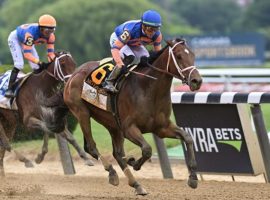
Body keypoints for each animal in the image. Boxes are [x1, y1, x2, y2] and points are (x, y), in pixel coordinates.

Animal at [63, 38, 202, 195]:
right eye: (179, 56)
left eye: (193, 55)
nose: (197, 81)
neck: (148, 89)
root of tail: (73, 75)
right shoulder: (129, 128)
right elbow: (147, 149)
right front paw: (134, 163)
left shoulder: (162, 127)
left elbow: (188, 138)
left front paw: (193, 177)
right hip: (82, 113)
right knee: (91, 147)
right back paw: (112, 173)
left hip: (112, 124)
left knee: (117, 153)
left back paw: (136, 184)